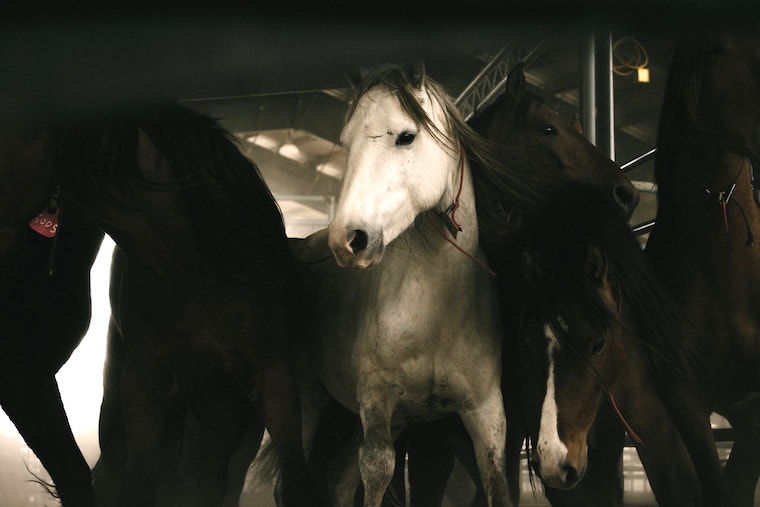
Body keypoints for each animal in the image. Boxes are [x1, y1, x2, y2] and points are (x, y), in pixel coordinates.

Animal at [285, 62, 553, 507]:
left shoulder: (485, 414)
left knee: (338, 478)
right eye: (346, 145)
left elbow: (495, 482)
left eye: (406, 136)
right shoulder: (376, 405)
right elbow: (377, 473)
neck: (433, 310)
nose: (348, 239)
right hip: (308, 406)